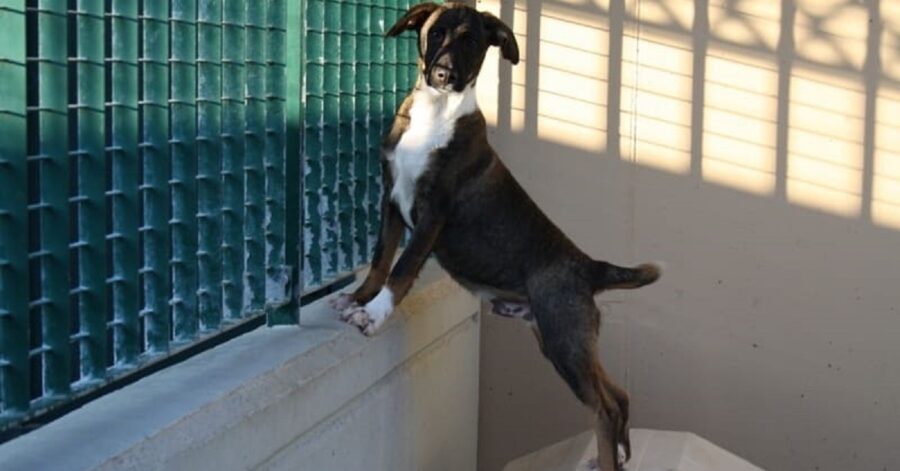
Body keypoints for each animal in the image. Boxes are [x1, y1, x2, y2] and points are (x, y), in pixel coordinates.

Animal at [330, 2, 660, 468]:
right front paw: (359, 298)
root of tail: (589, 266)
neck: (436, 114)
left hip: (564, 340)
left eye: (472, 40)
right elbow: (380, 260)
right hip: (564, 340)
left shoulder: (434, 213)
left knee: (605, 408)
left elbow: (402, 268)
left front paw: (374, 314)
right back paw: (613, 455)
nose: (444, 73)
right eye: (437, 33)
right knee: (619, 394)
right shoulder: (391, 201)